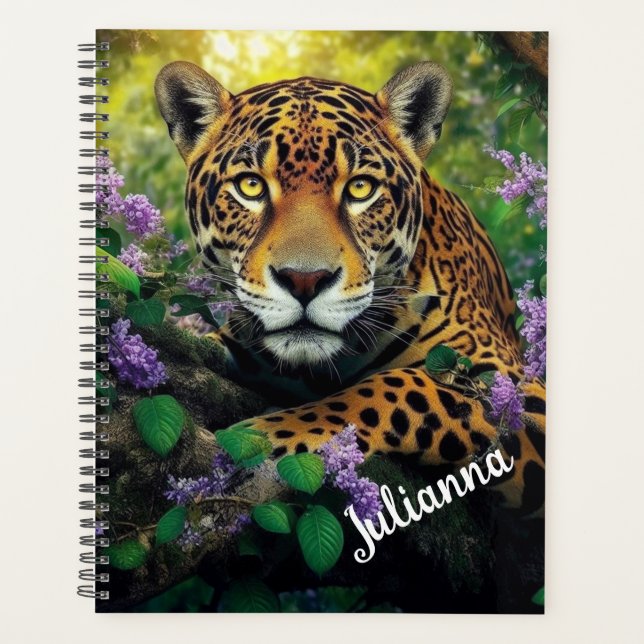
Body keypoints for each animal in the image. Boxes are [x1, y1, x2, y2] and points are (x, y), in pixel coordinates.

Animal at [155, 60, 546, 516]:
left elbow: (393, 390)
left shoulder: (518, 390)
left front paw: (266, 437)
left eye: (360, 188)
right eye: (250, 185)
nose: (304, 279)